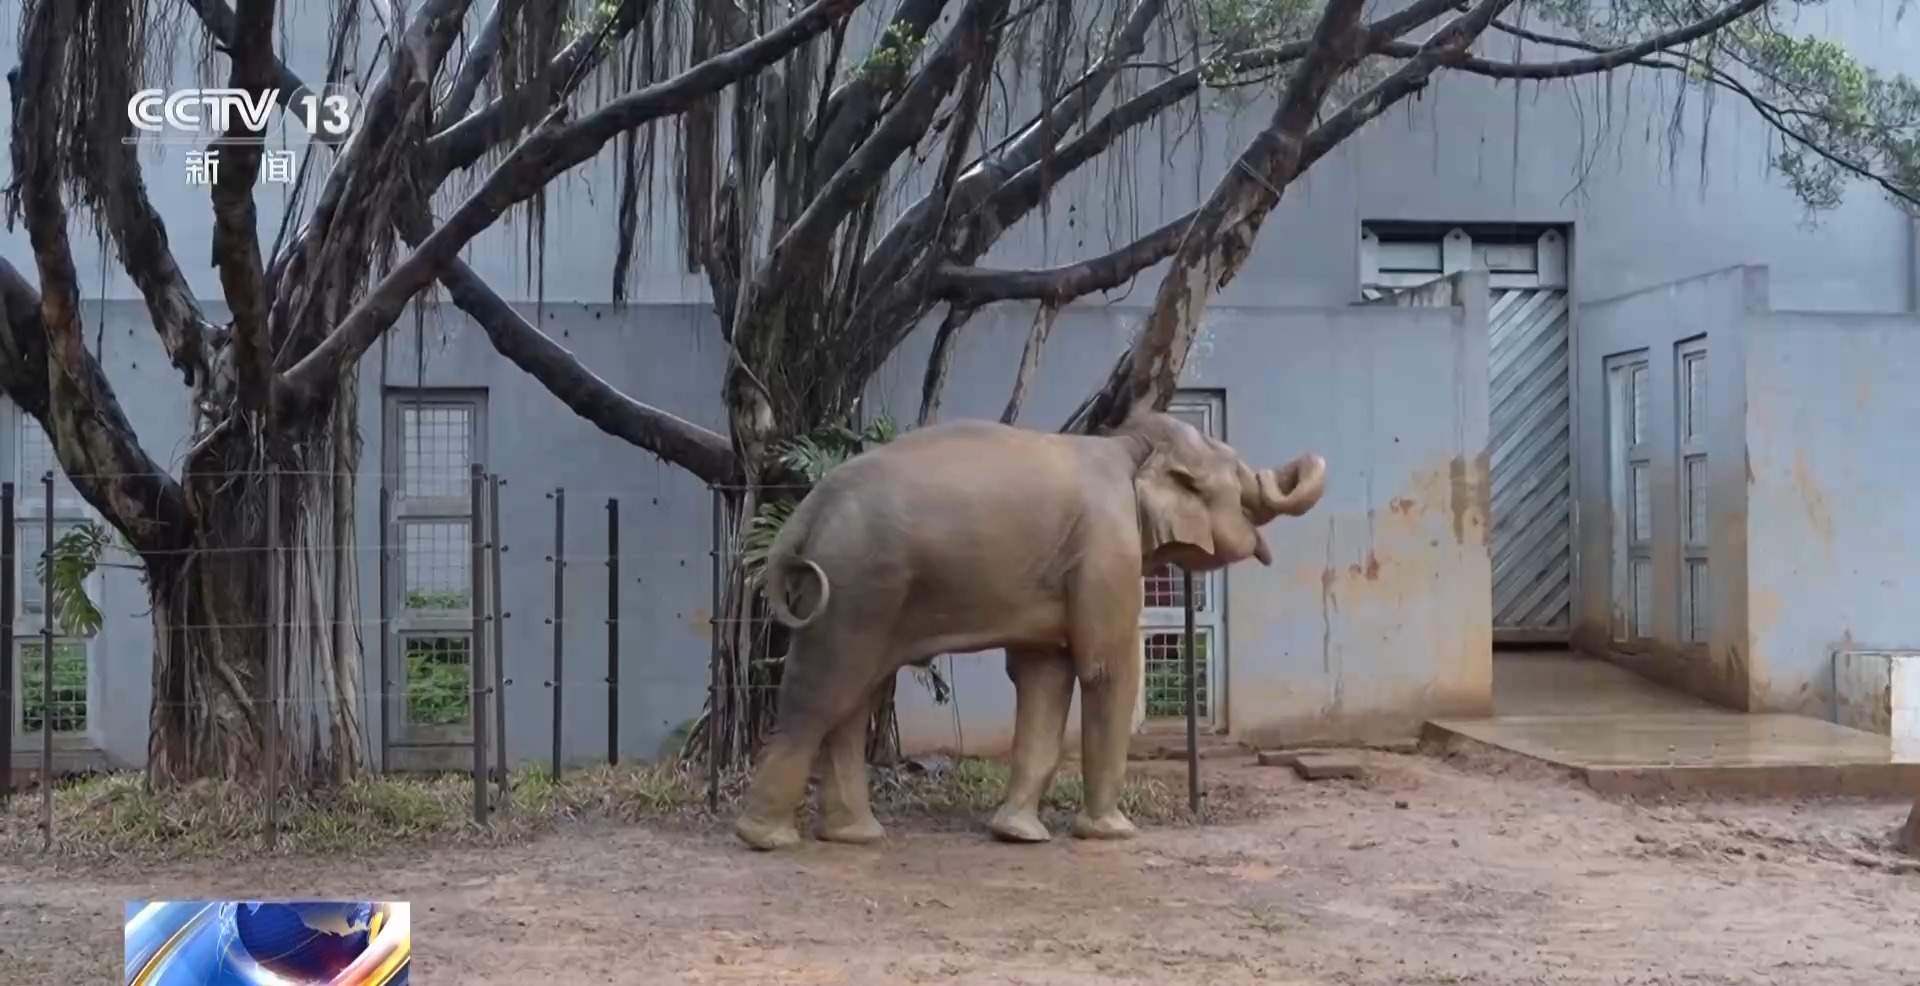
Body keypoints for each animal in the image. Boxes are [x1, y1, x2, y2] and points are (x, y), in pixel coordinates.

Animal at [732, 409, 1327, 851]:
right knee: (824, 690)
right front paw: (1112, 833)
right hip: (855, 581)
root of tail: (806, 509)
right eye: (1242, 484)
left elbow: (1044, 674)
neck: (1127, 446)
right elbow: (1103, 670)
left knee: (854, 698)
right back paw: (767, 839)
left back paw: (854, 836)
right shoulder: (1105, 548)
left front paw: (1017, 834)